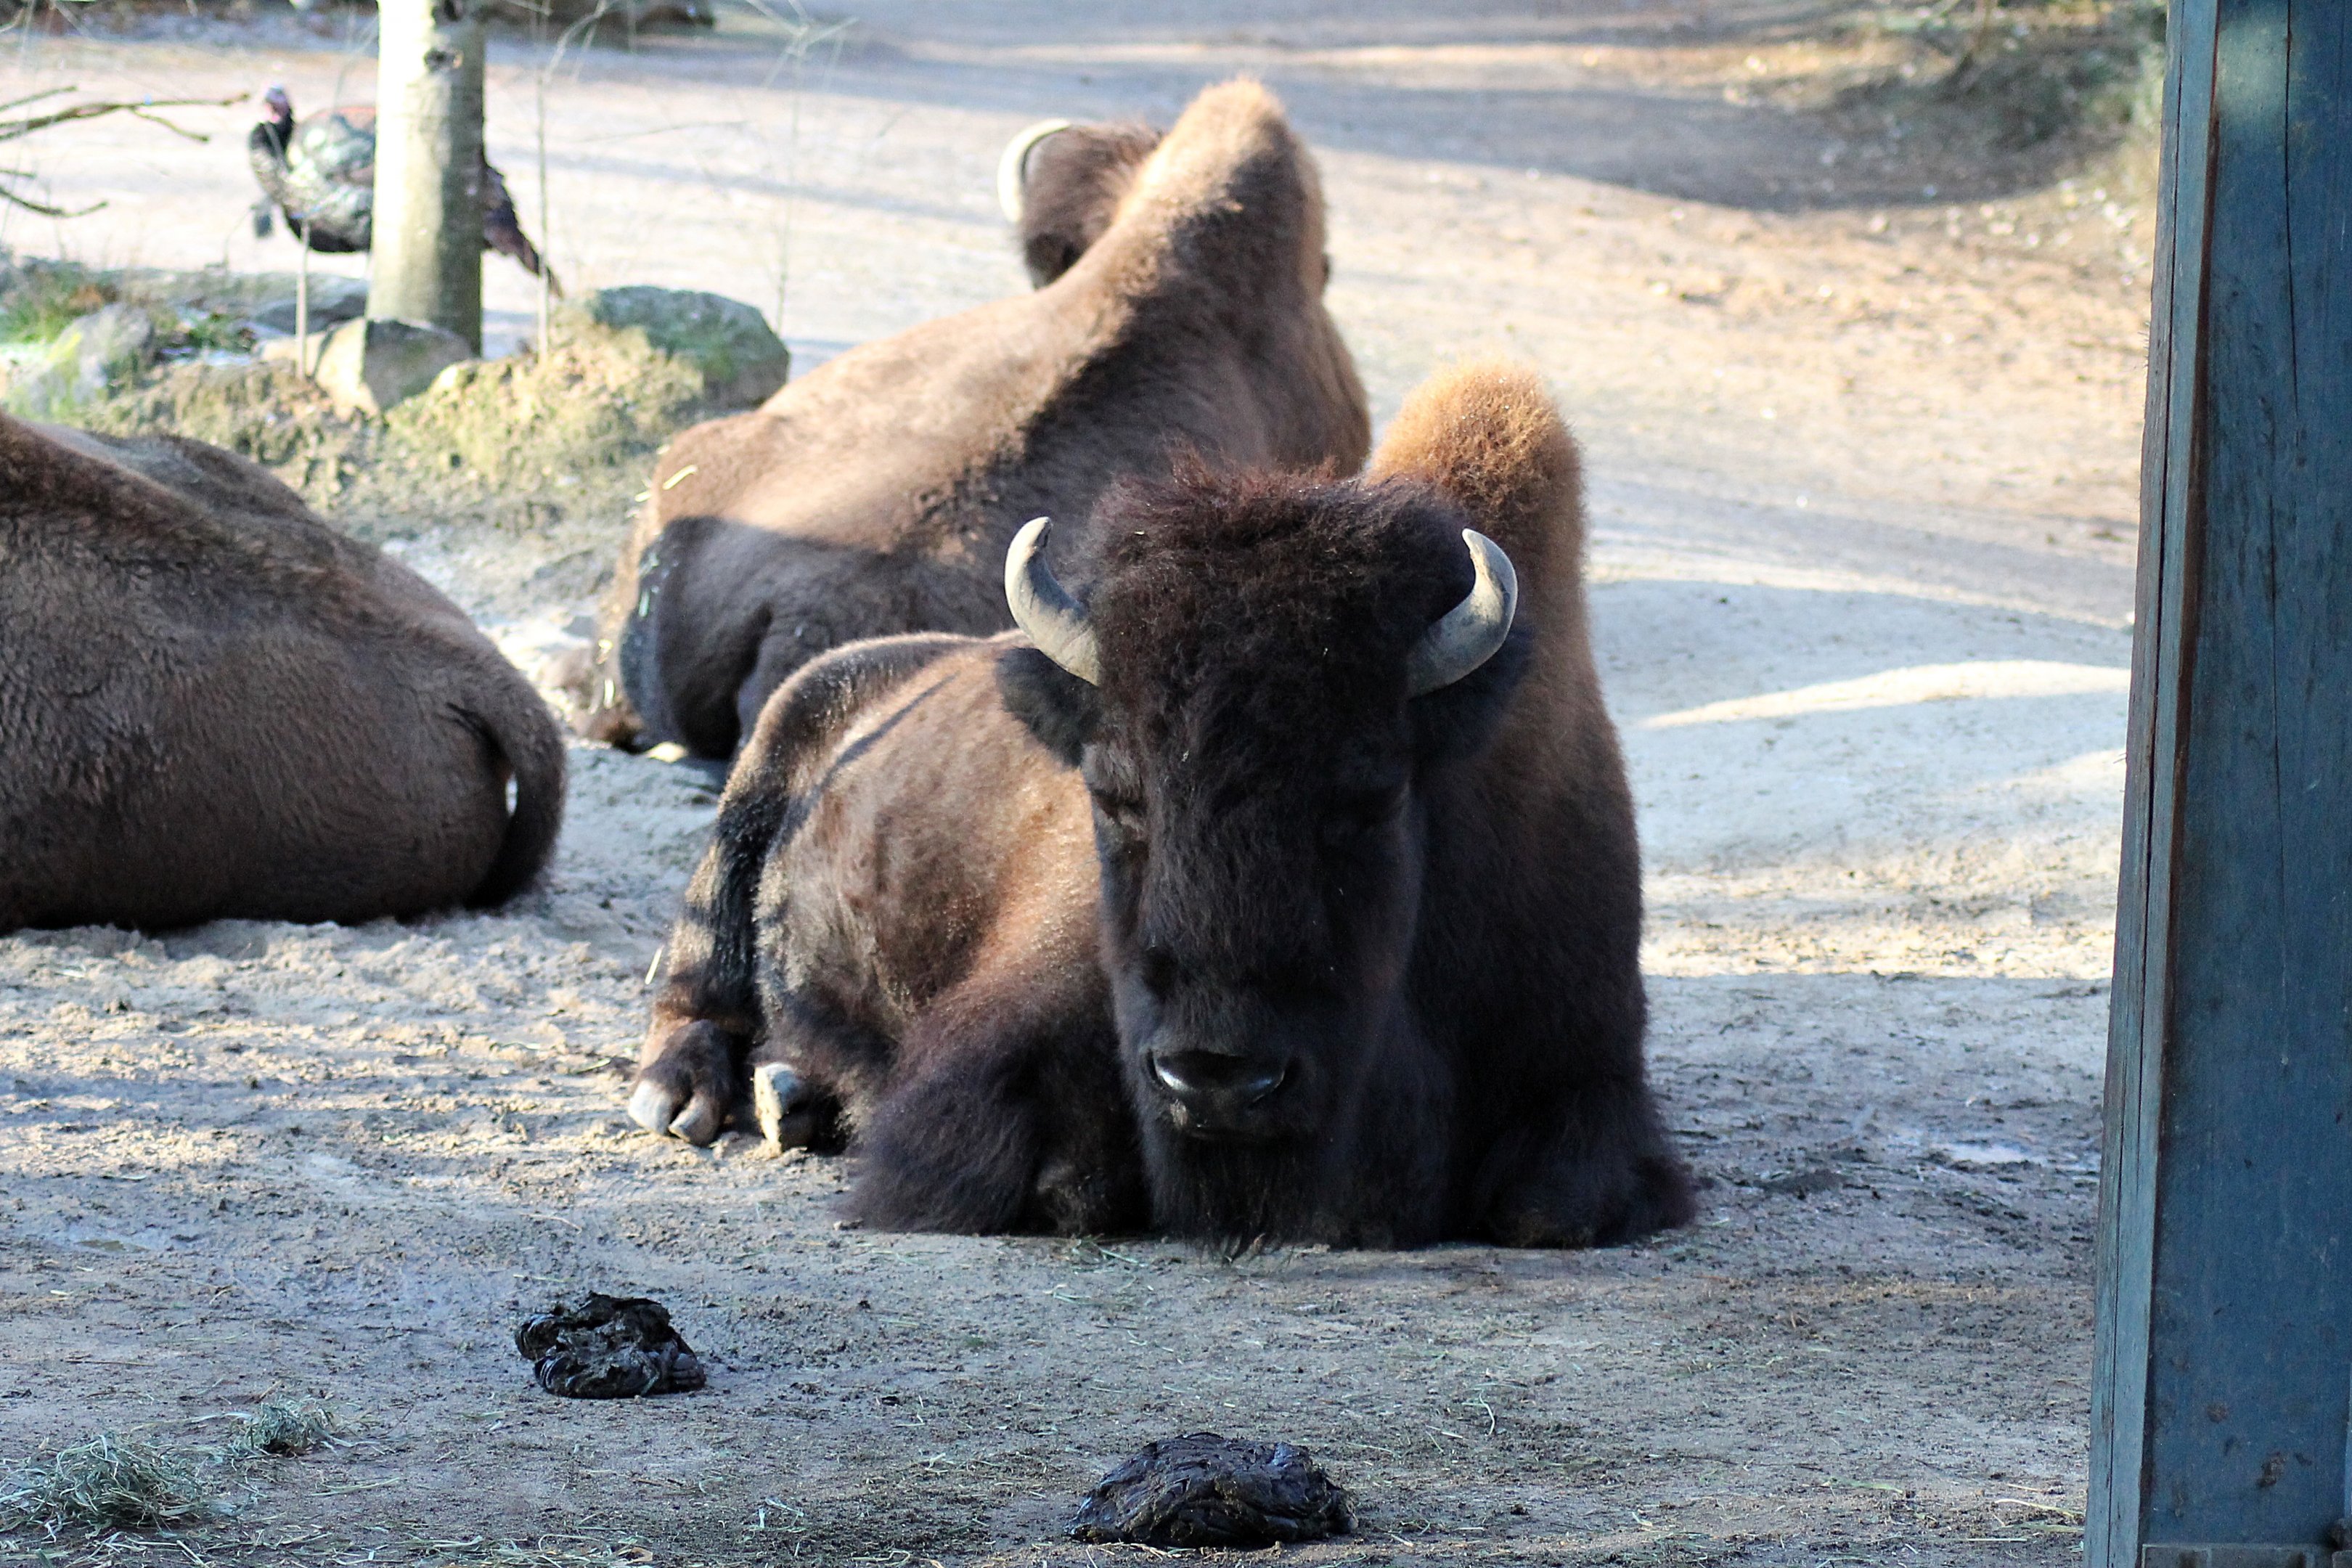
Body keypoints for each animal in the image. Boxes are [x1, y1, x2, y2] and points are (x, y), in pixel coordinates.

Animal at [627, 363, 1693, 1249]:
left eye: (1372, 794)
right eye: (1112, 793)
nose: (1217, 1078)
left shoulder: (1589, 1068)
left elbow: (1547, 1210)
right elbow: (1054, 1181)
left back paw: (791, 1097)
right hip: (743, 815)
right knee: (696, 989)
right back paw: (691, 1100)